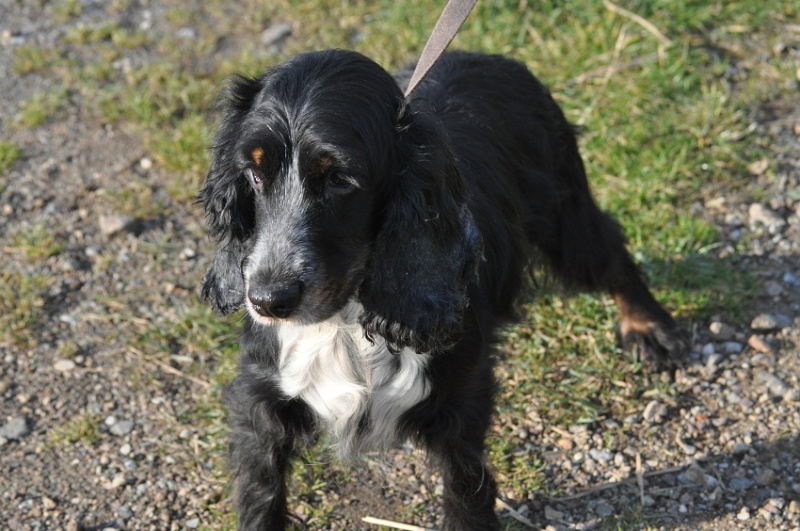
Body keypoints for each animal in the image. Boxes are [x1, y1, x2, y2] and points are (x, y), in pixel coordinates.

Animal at [198, 48, 688, 528]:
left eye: (339, 179)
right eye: (254, 174)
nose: (267, 300)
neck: (347, 317)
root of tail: (492, 56)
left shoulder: (460, 400)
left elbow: (465, 490)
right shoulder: (261, 400)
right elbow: (261, 493)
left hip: (564, 209)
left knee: (607, 250)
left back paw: (648, 328)